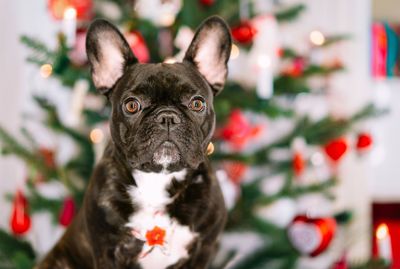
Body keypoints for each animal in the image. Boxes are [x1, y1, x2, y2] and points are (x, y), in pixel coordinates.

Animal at [36, 15, 233, 268]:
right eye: (132, 105)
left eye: (197, 103)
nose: (167, 117)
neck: (158, 180)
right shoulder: (108, 251)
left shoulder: (204, 249)